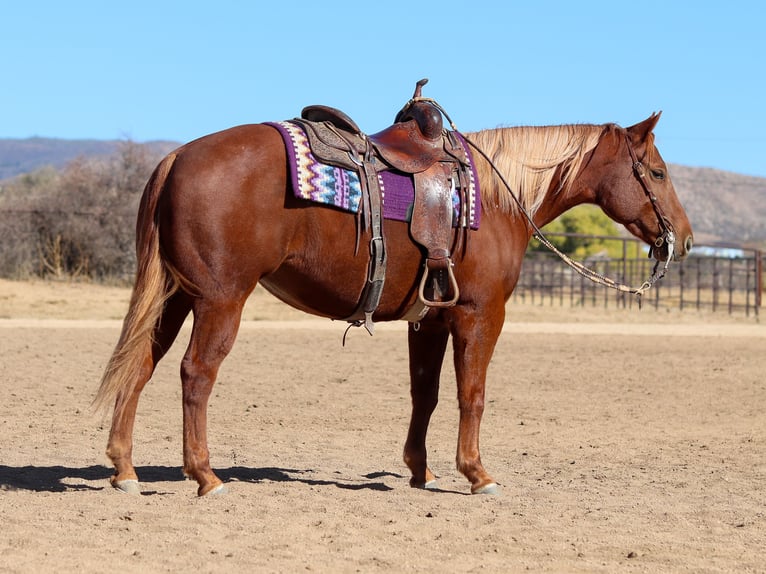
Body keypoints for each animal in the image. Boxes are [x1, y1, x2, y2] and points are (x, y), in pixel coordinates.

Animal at [94, 109, 696, 500]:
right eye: (658, 172)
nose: (684, 239)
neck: (496, 199)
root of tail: (176, 157)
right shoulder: (480, 314)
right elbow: (472, 396)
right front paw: (477, 474)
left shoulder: (428, 321)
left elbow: (425, 395)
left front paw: (420, 471)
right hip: (220, 300)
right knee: (196, 374)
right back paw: (205, 476)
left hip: (174, 298)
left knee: (139, 367)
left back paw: (125, 470)